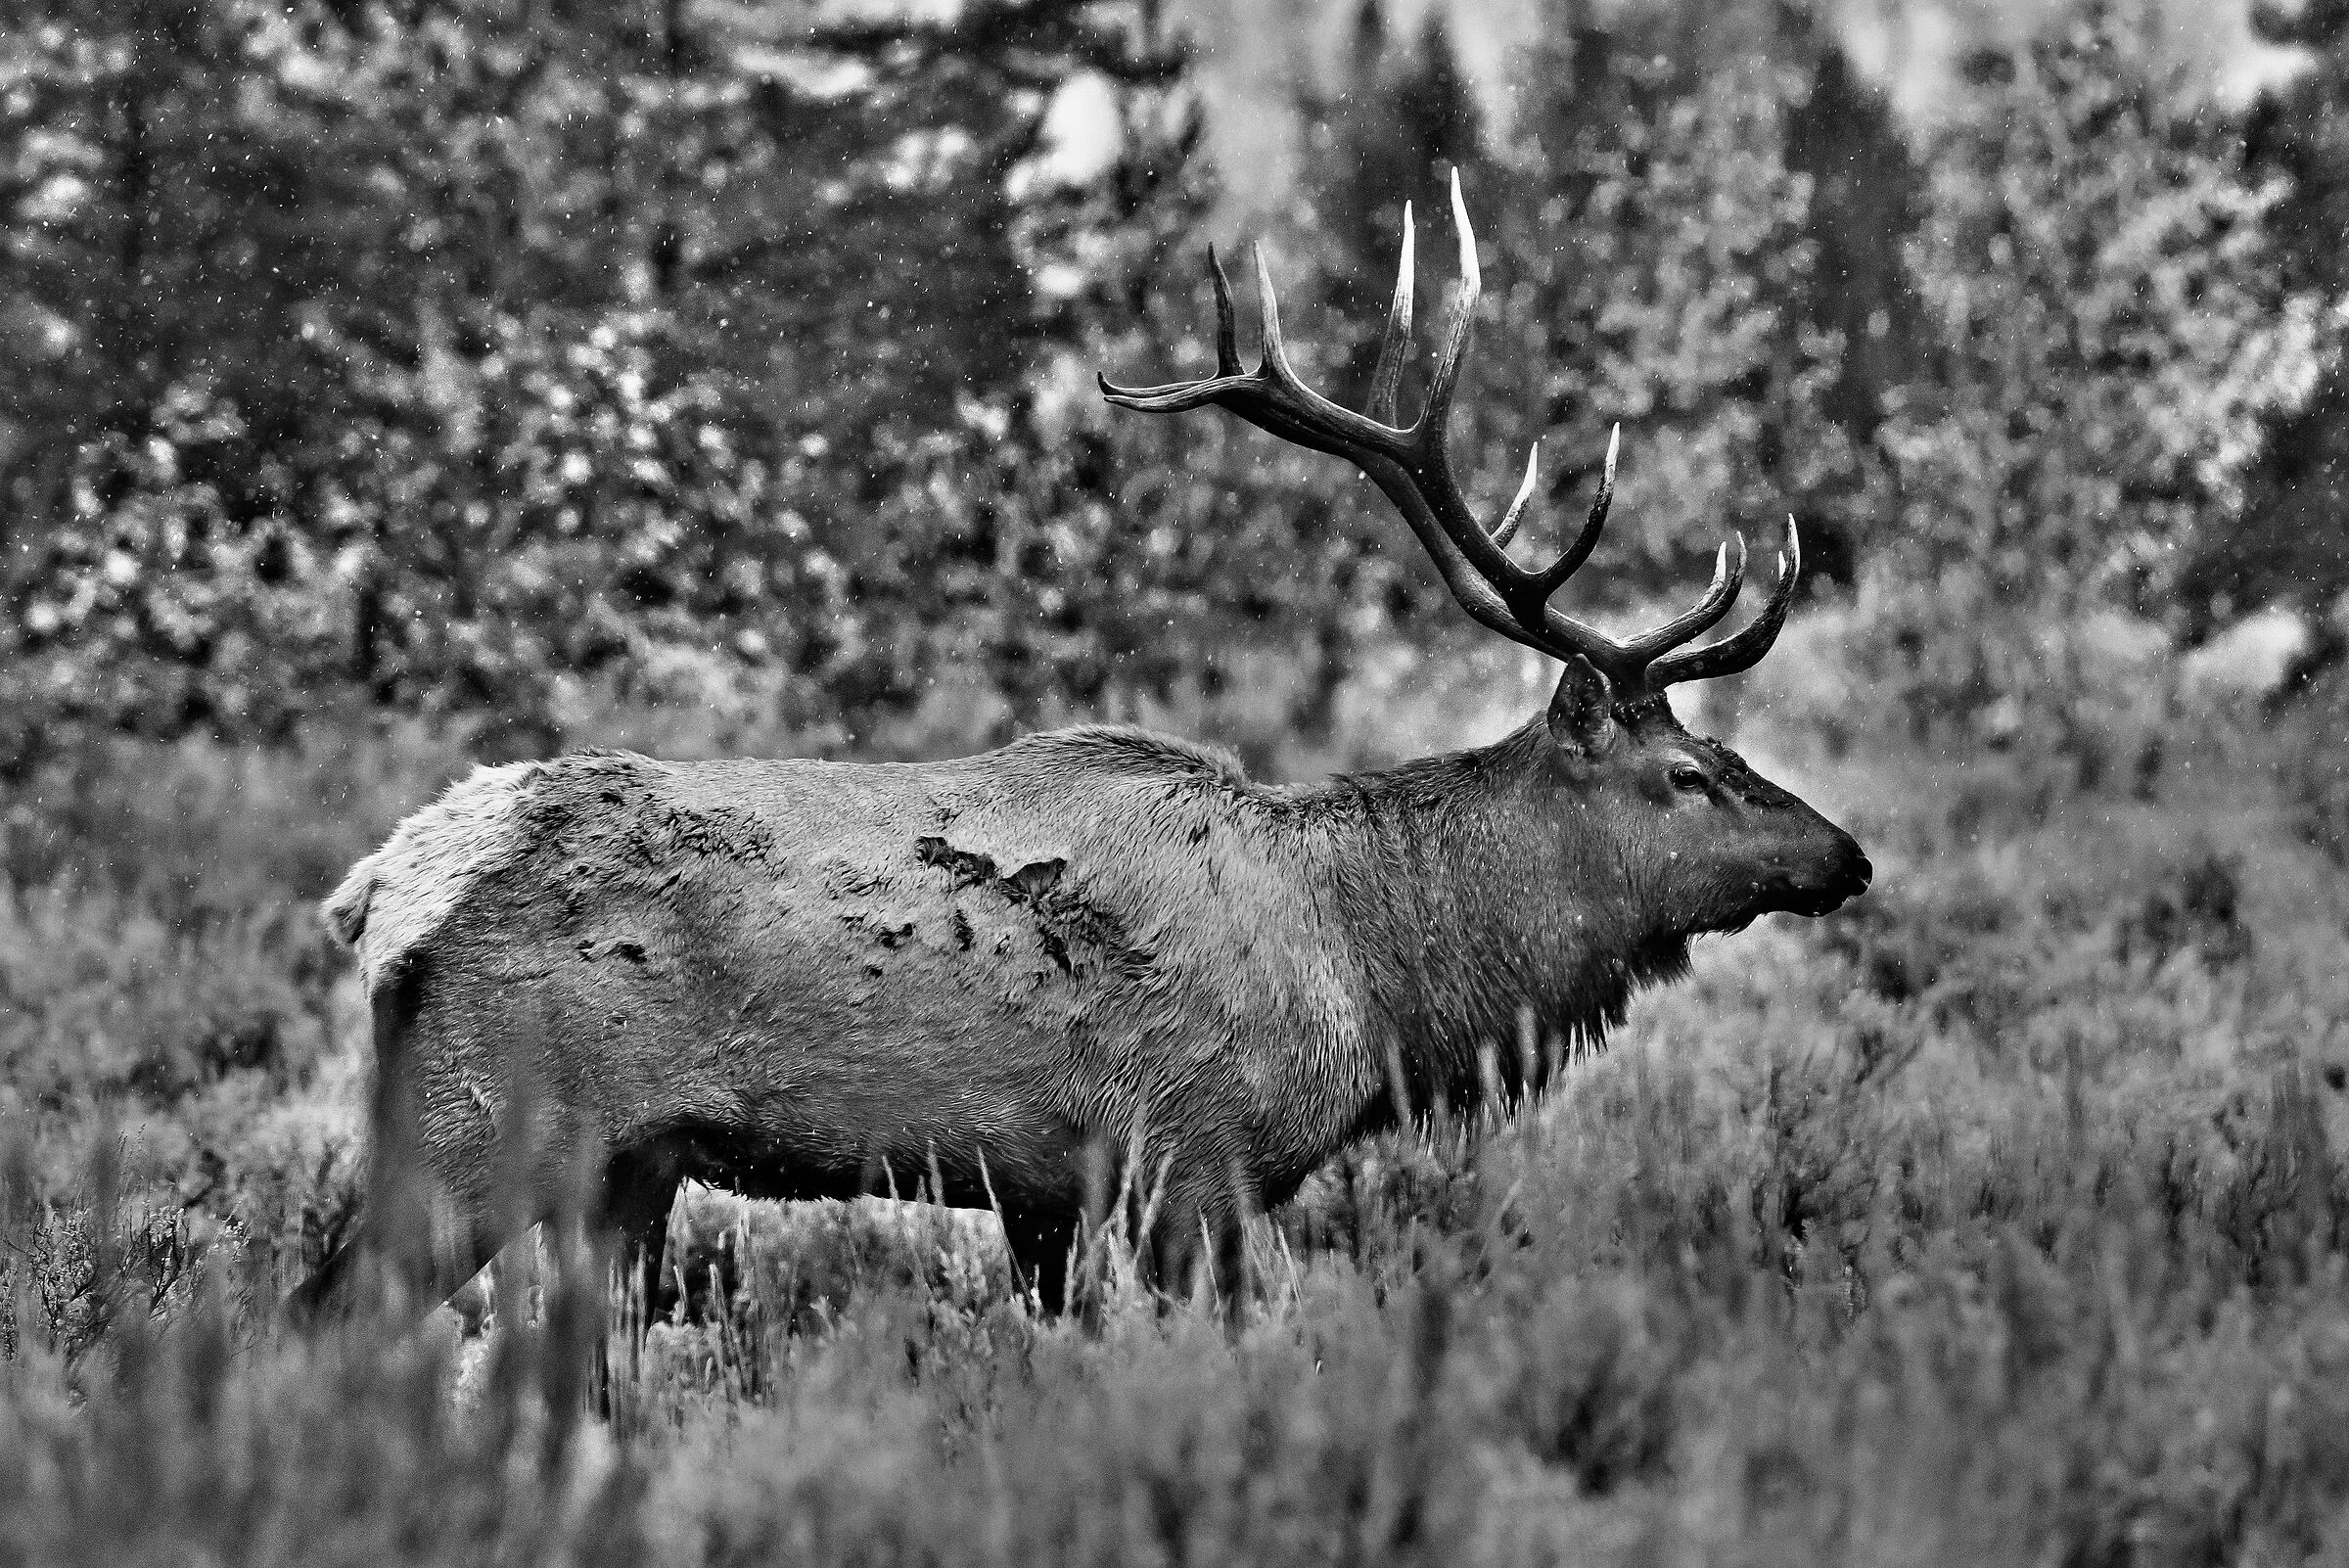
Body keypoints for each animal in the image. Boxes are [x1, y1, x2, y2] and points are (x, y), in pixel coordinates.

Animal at [288, 174, 1869, 1332]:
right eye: (1686, 776)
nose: (1848, 855)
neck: (1372, 972)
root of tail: (377, 891)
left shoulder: (1047, 1196)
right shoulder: (1195, 1152)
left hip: (626, 1168)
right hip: (474, 1122)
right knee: (319, 1316)